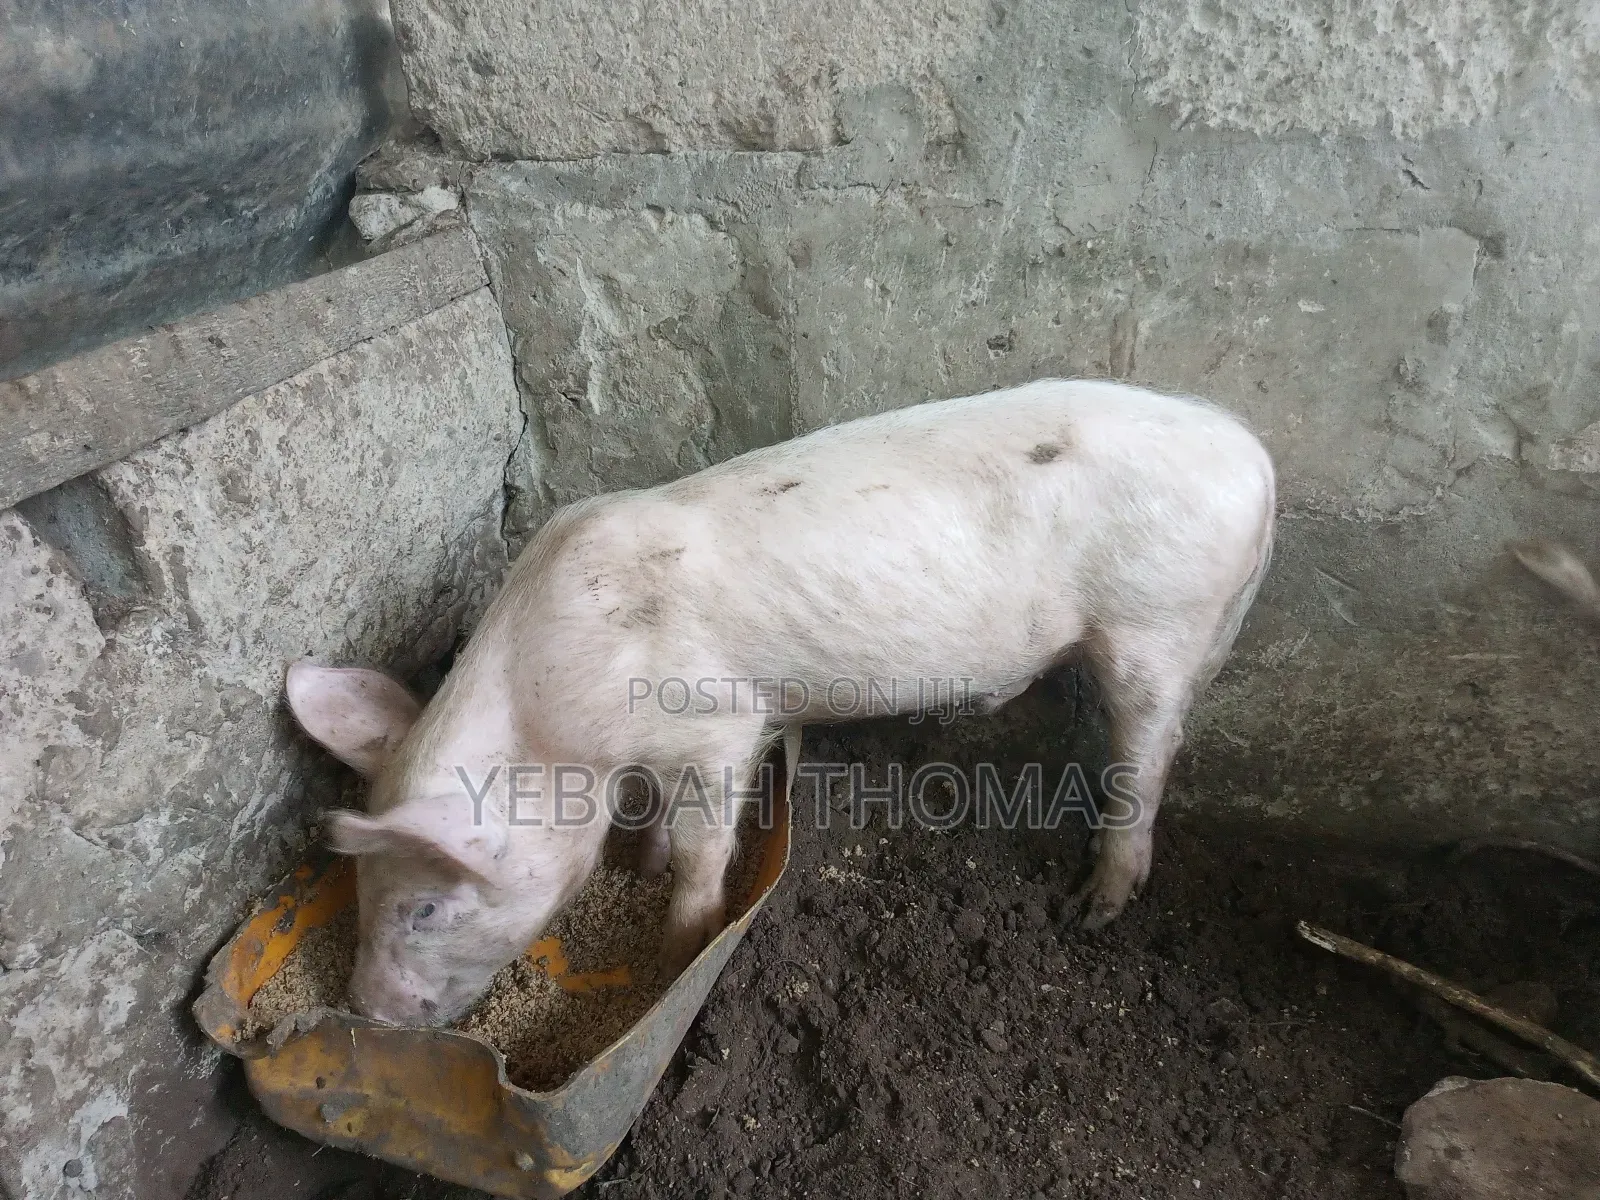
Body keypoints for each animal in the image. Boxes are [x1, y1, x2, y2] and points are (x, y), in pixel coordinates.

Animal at [285, 378, 1276, 1025]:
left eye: (425, 908)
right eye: (363, 890)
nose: (364, 1009)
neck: (556, 720)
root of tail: (1251, 452)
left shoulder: (719, 724)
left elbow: (703, 848)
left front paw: (676, 943)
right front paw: (638, 862)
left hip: (1156, 623)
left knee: (1148, 756)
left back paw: (1093, 908)